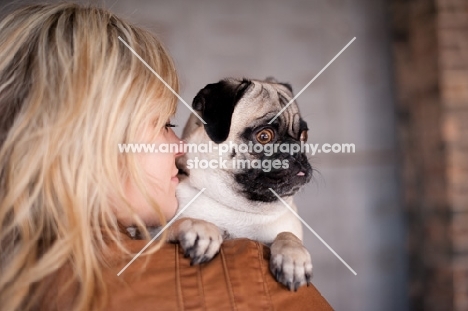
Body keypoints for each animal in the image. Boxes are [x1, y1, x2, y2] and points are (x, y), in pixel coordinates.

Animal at [166, 78, 312, 292]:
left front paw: (293, 257)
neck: (240, 206)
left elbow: (287, 235)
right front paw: (199, 226)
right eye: (264, 136)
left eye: (304, 136)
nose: (296, 150)